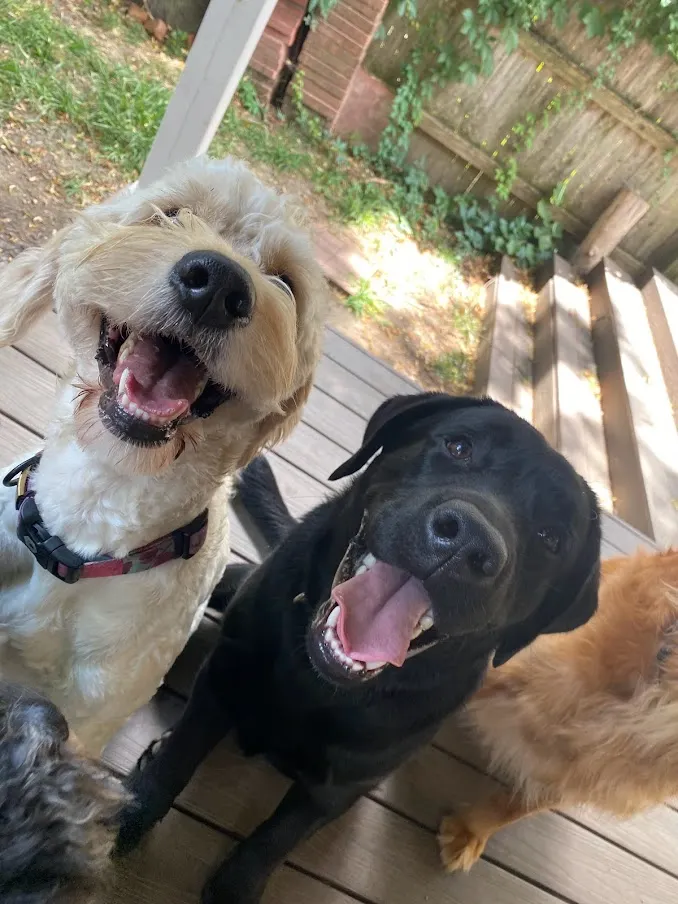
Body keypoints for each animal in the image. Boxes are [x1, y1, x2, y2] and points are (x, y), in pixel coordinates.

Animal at [115, 394, 600, 904]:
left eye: (551, 537)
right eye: (459, 446)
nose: (470, 540)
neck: (316, 682)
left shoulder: (339, 787)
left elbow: (274, 839)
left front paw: (236, 888)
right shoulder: (224, 678)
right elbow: (177, 760)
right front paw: (129, 816)